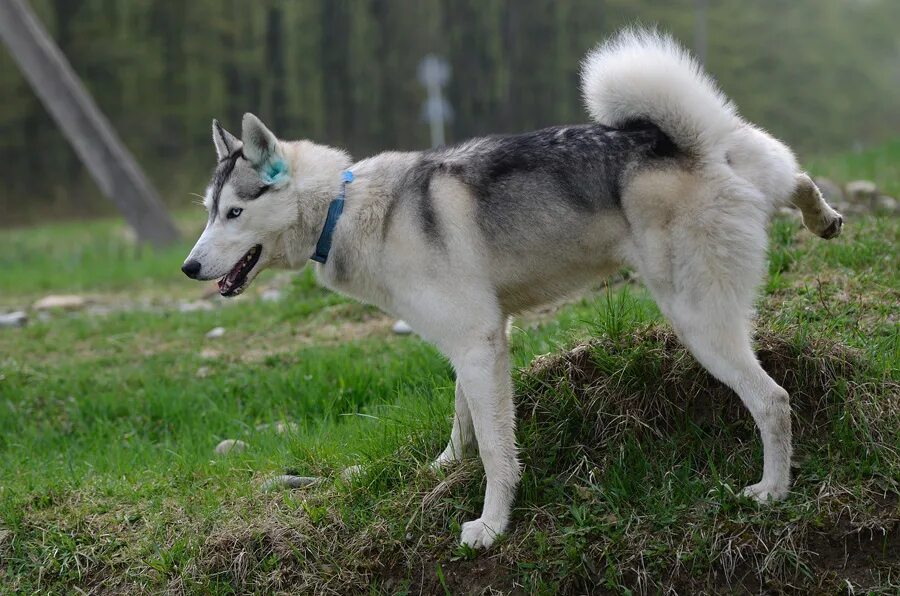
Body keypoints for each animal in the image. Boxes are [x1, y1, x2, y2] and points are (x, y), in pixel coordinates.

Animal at [183, 29, 844, 548]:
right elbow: (464, 421)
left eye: (234, 213)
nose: (188, 267)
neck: (346, 208)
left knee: (773, 401)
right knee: (800, 180)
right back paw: (824, 219)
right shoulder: (477, 341)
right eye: (209, 211)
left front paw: (492, 524)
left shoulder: (478, 344)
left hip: (698, 322)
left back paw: (773, 489)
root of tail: (690, 141)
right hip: (757, 196)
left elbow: (498, 449)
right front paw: (445, 466)